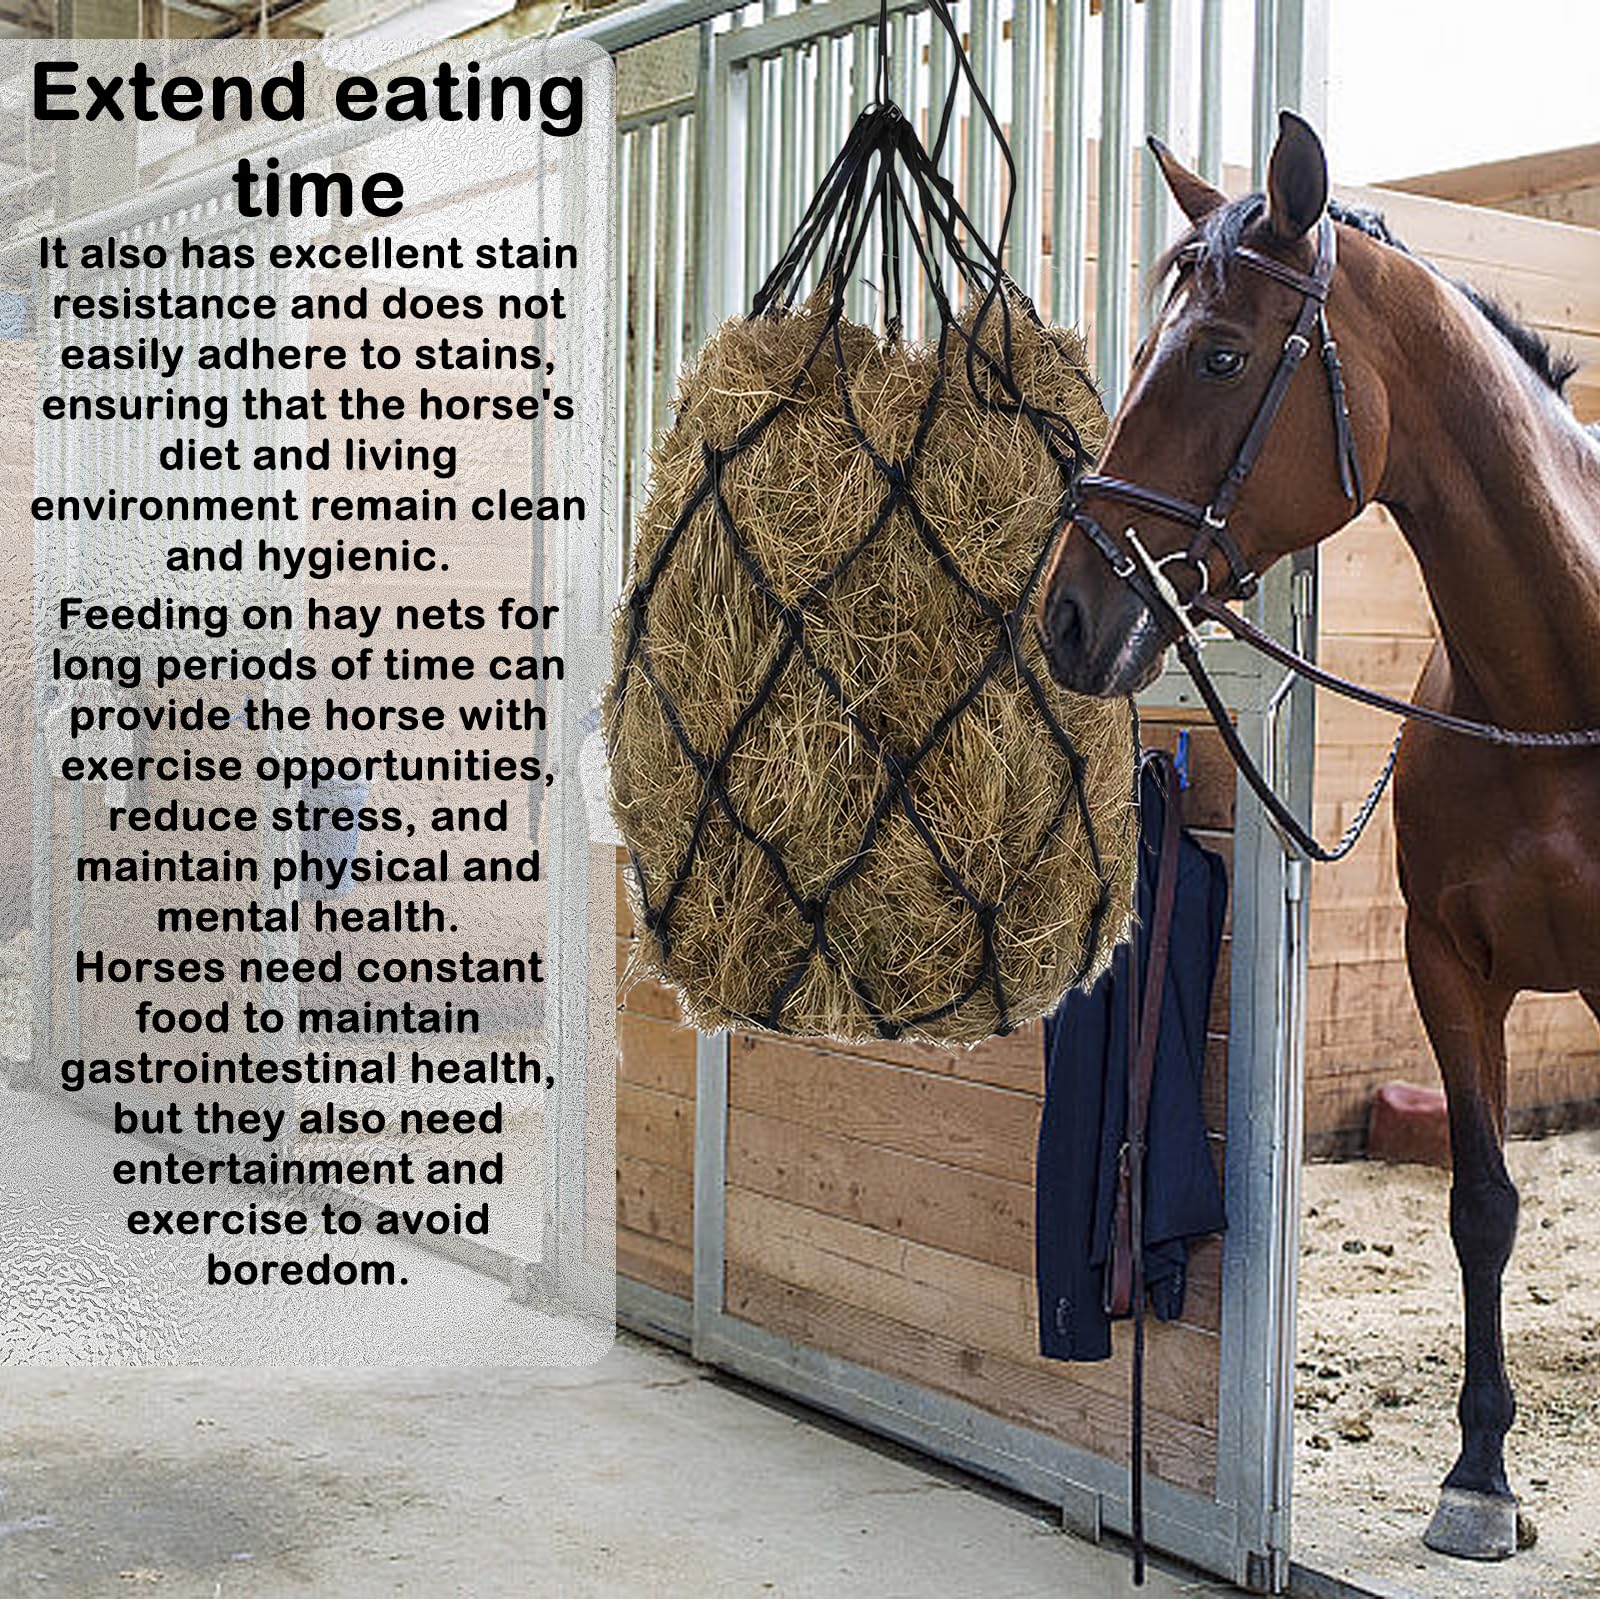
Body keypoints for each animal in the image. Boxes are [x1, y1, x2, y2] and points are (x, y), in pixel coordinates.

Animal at [1038, 110, 1600, 1562]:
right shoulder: (1449, 966)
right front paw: (1479, 1478)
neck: (1561, 693)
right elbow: (1482, 1205)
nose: (1067, 616)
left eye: (1222, 355)